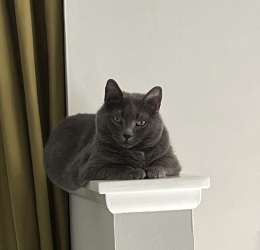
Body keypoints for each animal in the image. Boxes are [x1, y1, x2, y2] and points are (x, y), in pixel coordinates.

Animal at [43, 79, 181, 190]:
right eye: (117, 119)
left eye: (141, 122)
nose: (127, 134)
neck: (135, 152)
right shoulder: (90, 167)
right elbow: (116, 166)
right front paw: (135, 171)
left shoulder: (170, 156)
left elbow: (164, 162)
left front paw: (153, 169)